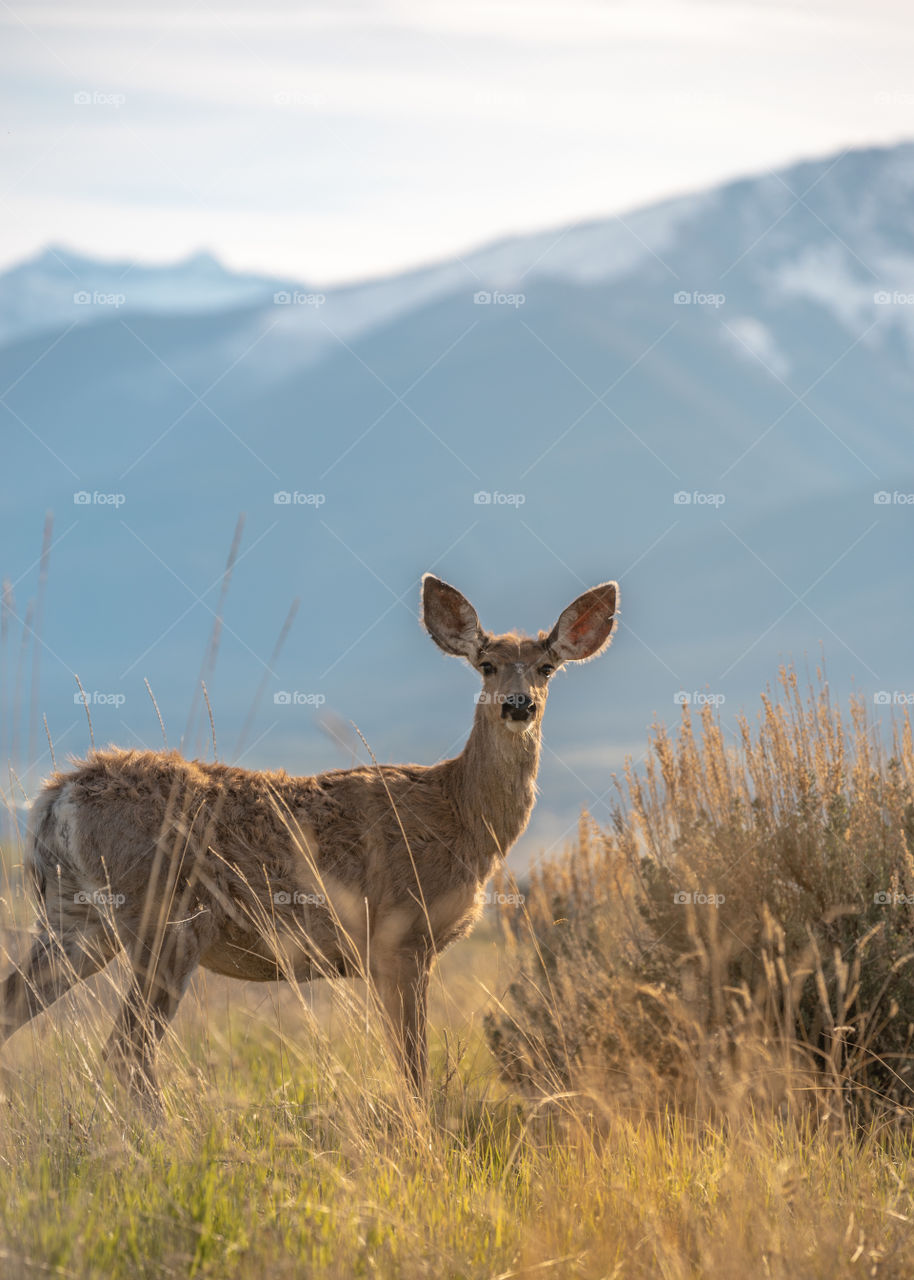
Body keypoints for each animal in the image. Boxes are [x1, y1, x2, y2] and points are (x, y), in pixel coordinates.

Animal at [0, 570, 617, 1100]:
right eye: (486, 664)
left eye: (546, 667)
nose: (519, 706)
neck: (460, 815)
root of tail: (56, 799)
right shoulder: (401, 935)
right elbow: (413, 1069)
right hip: (165, 916)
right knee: (126, 1051)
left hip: (74, 917)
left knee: (16, 1008)